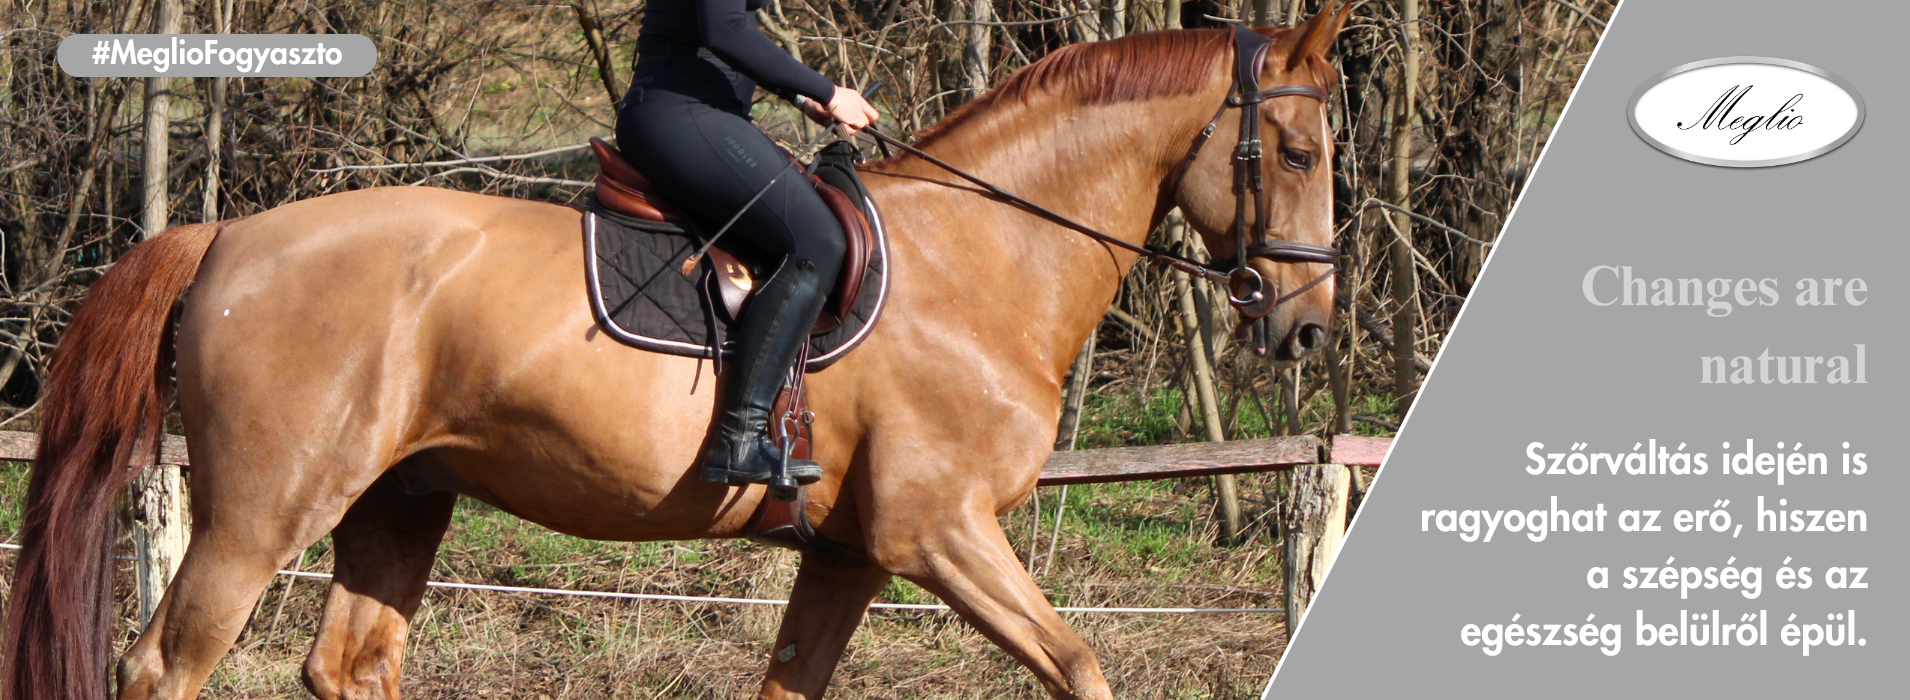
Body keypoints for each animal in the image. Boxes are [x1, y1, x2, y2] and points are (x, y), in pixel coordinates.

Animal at [2, 10, 1349, 700]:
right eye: (1292, 150)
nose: (1305, 324)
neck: (988, 251)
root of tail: (227, 233)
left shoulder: (851, 554)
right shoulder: (938, 531)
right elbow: (1077, 664)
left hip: (400, 499)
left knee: (349, 667)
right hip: (260, 512)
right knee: (164, 666)